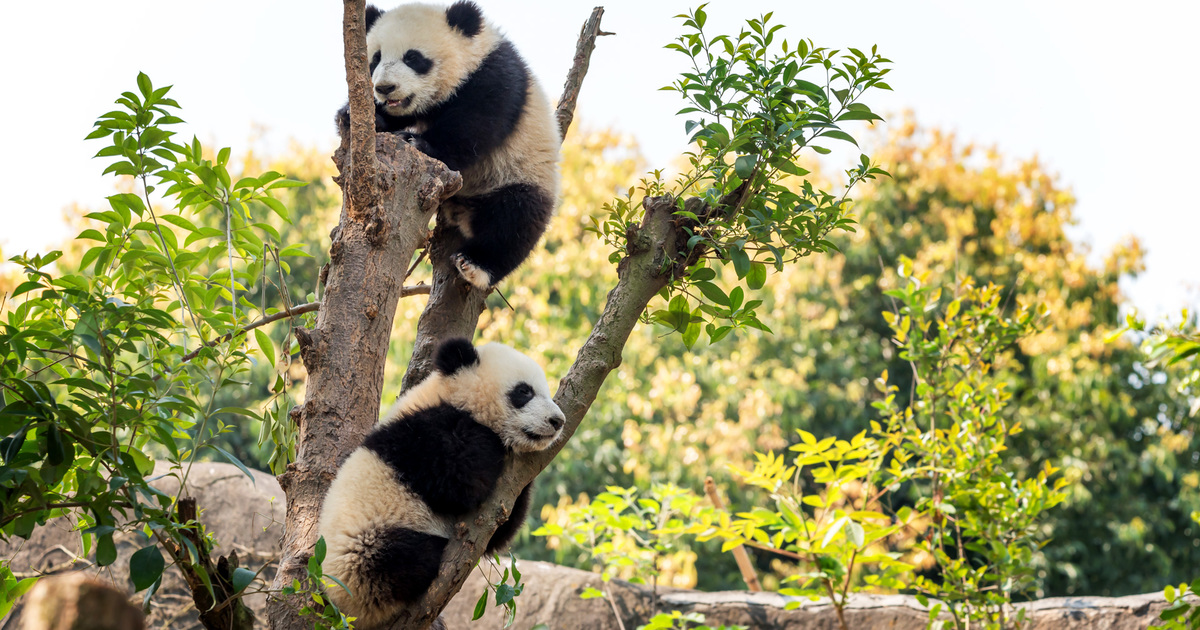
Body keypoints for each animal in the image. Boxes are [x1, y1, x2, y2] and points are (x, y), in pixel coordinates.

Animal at [317, 338, 565, 629]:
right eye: (524, 391)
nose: (558, 421)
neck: (449, 395)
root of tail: (350, 613)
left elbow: (498, 529)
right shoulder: (418, 438)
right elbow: (457, 481)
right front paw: (490, 440)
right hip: (362, 552)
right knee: (399, 558)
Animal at [336, 1, 561, 290]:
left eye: (413, 58)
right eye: (375, 58)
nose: (385, 88)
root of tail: (466, 212)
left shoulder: (495, 74)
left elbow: (475, 122)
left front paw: (417, 141)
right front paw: (354, 116)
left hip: (523, 173)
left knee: (517, 219)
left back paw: (475, 265)